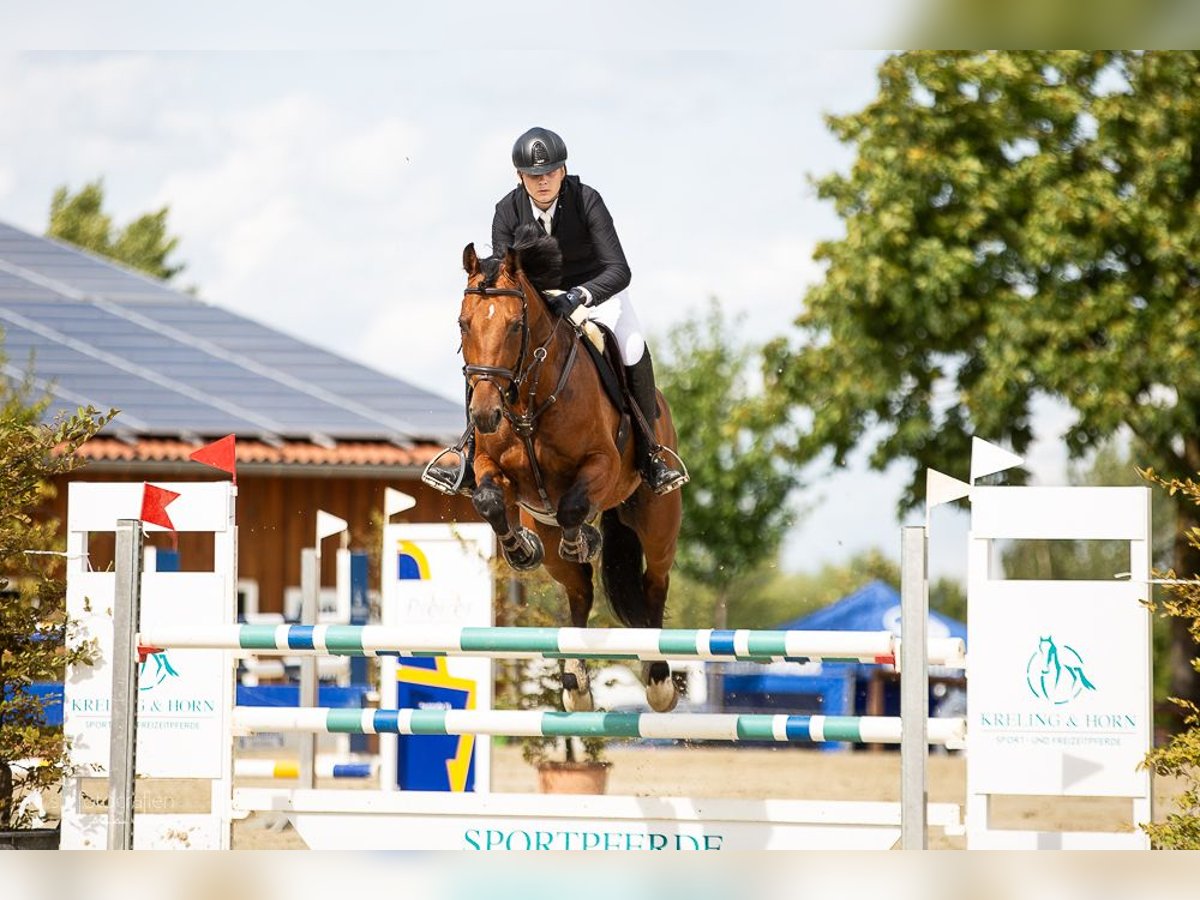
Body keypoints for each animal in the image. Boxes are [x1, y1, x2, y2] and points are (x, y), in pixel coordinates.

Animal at [456, 229, 686, 715]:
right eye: (464, 324)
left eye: (515, 326)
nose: (485, 414)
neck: (528, 398)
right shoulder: (492, 468)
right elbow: (489, 499)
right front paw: (520, 549)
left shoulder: (601, 464)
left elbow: (574, 506)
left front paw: (584, 539)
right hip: (556, 544)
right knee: (580, 593)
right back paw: (575, 684)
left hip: (658, 521)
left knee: (654, 584)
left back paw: (658, 680)